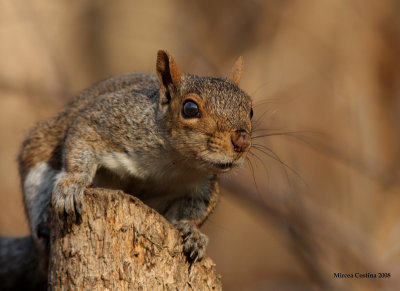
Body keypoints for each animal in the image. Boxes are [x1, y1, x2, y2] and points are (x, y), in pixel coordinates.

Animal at [0, 50, 252, 290]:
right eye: (190, 108)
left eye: (250, 109)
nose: (242, 141)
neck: (175, 161)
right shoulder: (110, 121)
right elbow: (82, 136)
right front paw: (73, 184)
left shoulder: (203, 184)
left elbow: (195, 209)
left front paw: (193, 232)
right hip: (38, 158)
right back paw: (43, 221)